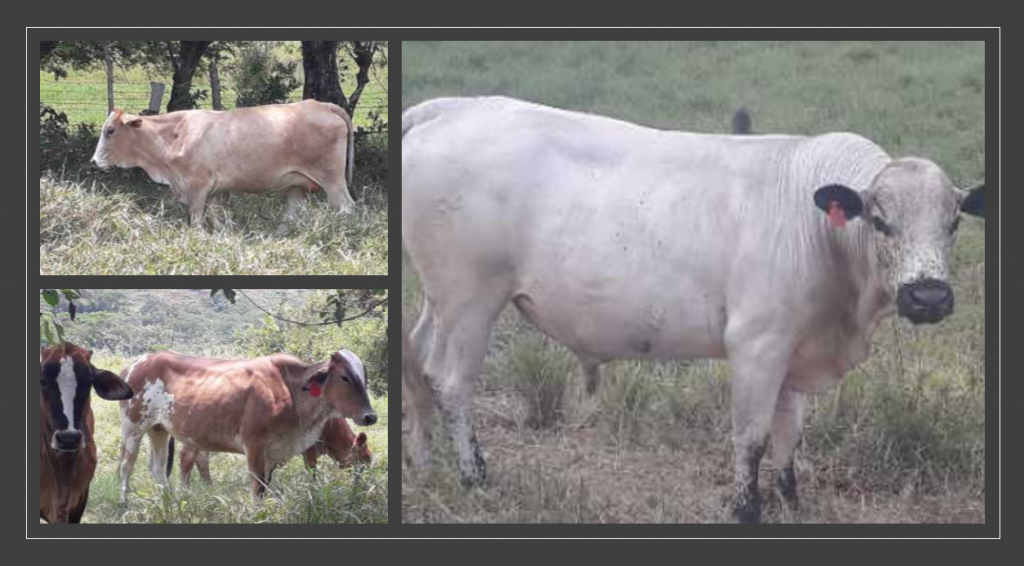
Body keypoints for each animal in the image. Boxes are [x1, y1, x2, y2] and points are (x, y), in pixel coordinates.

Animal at [90, 99, 356, 230]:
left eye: (110, 130)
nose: (94, 162)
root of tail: (320, 104)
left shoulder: (197, 187)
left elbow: (196, 221)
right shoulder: (215, 191)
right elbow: (217, 221)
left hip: (332, 178)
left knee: (346, 208)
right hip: (296, 185)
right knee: (290, 216)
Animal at [175, 418, 372, 487]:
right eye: (365, 458)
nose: (360, 484)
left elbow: (267, 474)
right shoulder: (309, 447)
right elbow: (312, 468)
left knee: (202, 459)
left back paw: (209, 487)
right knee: (186, 458)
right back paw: (185, 490)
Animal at [401, 96, 985, 523]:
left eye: (954, 221)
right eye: (881, 221)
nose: (928, 296)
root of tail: (453, 107)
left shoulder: (796, 346)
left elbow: (789, 432)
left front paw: (791, 498)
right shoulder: (757, 344)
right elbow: (751, 437)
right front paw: (747, 509)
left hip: (441, 300)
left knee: (416, 360)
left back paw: (423, 464)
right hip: (471, 299)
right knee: (451, 380)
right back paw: (474, 475)